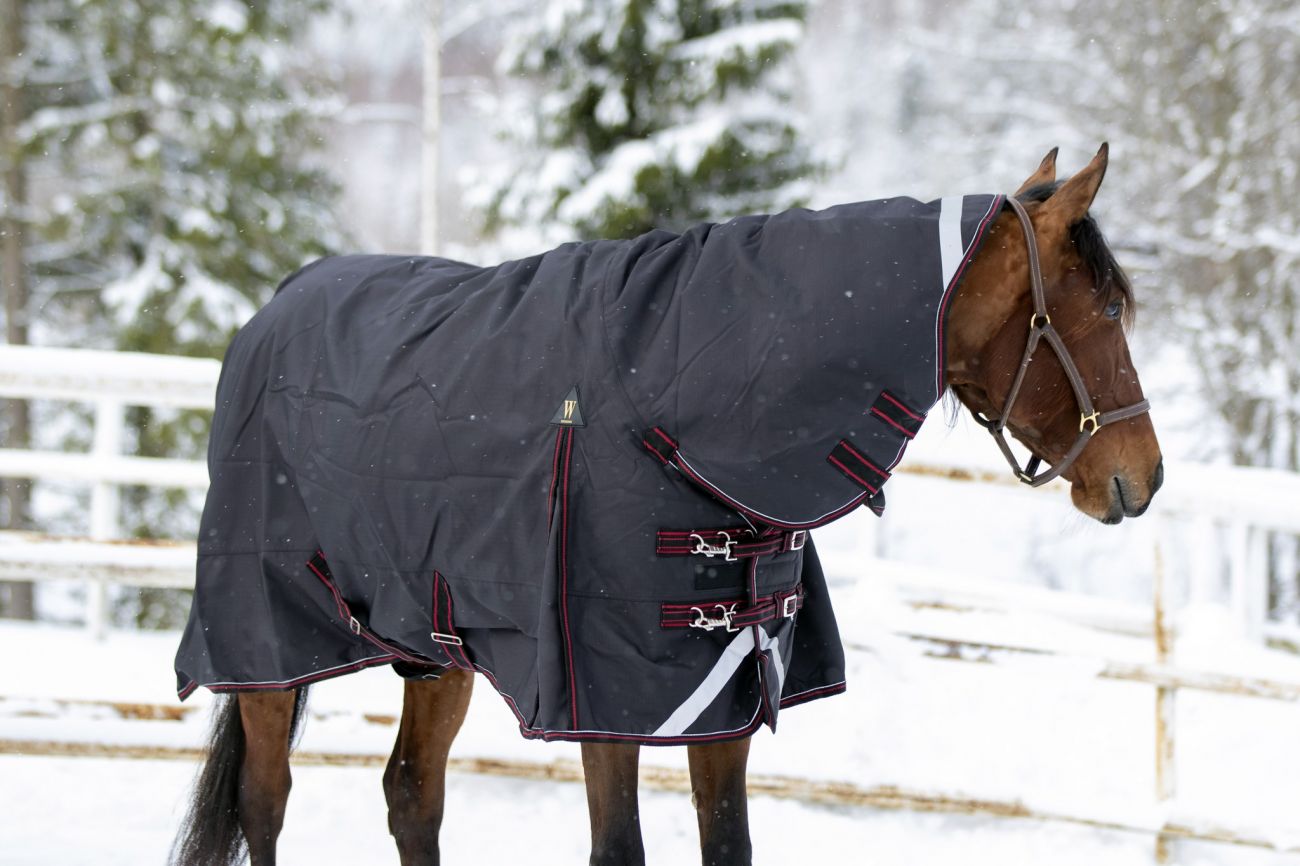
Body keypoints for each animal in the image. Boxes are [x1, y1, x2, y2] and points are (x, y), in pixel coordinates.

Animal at [170, 144, 1163, 866]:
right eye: (1110, 308)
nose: (1143, 476)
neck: (680, 406)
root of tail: (269, 313)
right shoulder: (606, 699)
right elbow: (620, 851)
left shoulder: (724, 695)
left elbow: (728, 845)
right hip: (268, 646)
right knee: (266, 801)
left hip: (432, 646)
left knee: (412, 795)